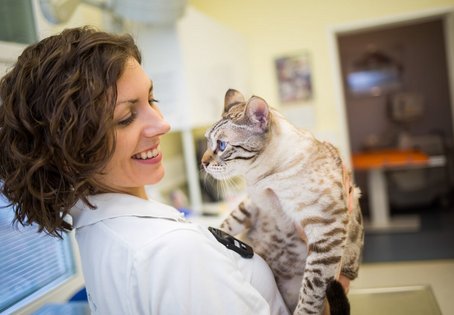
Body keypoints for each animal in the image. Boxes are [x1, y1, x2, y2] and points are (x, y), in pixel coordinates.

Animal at [200, 89, 364, 315]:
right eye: (208, 143)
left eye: (222, 145)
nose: (202, 163)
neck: (260, 179)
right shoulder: (253, 204)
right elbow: (228, 223)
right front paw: (211, 234)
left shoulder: (325, 226)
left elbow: (312, 288)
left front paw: (303, 311)